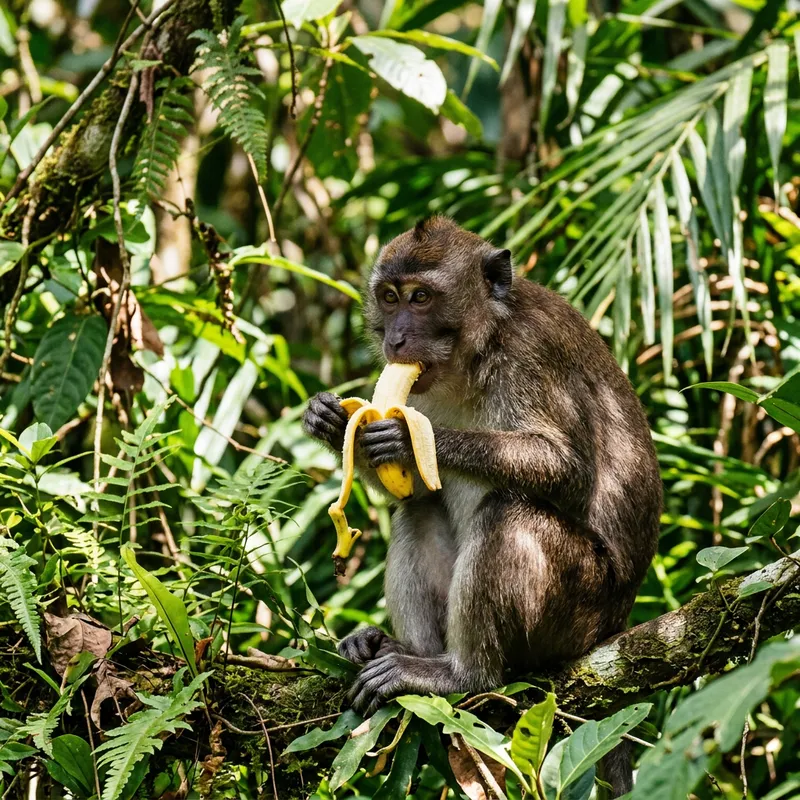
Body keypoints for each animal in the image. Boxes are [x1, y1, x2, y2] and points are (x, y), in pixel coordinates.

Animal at [302, 216, 662, 796]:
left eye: (421, 297)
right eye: (389, 297)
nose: (395, 338)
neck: (475, 350)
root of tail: (616, 622)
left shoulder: (530, 353)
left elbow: (566, 467)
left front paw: (405, 438)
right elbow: (413, 493)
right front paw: (333, 423)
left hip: (580, 608)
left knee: (507, 510)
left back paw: (459, 675)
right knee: (418, 512)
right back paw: (401, 651)